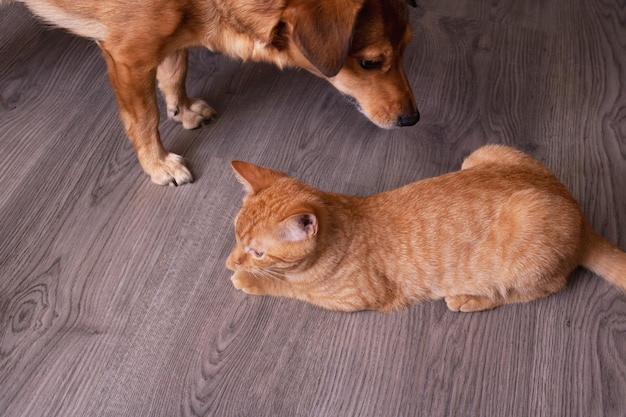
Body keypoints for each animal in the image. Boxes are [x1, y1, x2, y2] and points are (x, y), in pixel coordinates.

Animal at [4, 0, 416, 185]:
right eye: (369, 62)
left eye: (407, 47)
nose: (413, 119)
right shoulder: (128, 58)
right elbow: (145, 119)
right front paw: (158, 163)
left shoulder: (172, 40)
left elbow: (175, 71)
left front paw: (183, 110)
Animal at [224, 145, 624, 310]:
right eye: (236, 237)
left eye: (258, 251)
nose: (230, 262)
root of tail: (579, 214)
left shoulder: (353, 299)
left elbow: (292, 288)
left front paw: (251, 280)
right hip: (486, 151)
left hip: (528, 231)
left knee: (537, 289)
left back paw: (469, 299)